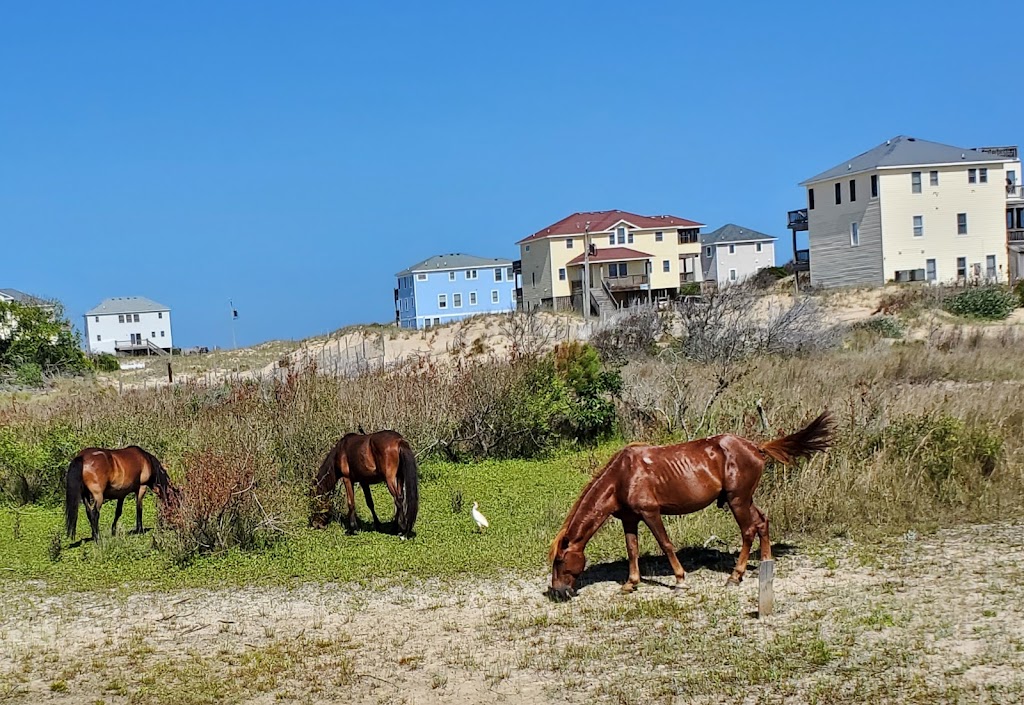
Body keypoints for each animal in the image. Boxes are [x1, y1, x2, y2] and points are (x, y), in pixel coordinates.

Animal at [548, 407, 827, 598]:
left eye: (559, 561)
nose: (558, 592)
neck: (622, 476)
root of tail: (756, 447)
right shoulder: (630, 518)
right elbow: (632, 549)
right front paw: (631, 583)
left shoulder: (651, 513)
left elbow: (666, 544)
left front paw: (680, 580)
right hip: (745, 499)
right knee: (762, 521)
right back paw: (766, 564)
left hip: (737, 500)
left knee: (748, 530)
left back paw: (735, 576)